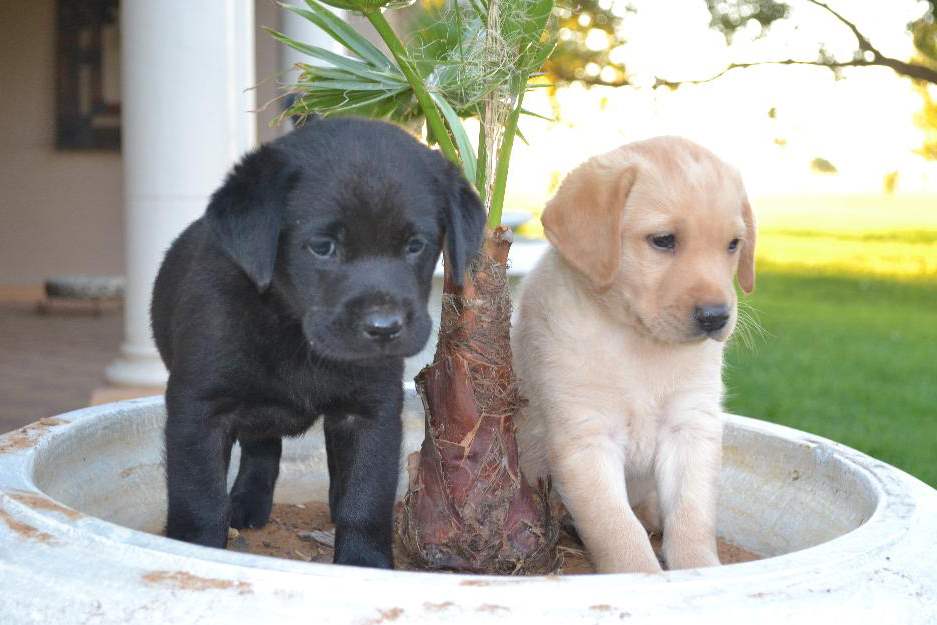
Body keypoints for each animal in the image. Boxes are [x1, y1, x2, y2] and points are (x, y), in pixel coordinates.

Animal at [150, 116, 482, 564]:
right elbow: (199, 500)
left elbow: (365, 499)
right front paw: (198, 551)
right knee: (261, 448)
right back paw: (247, 504)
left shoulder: (370, 411)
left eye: (416, 245)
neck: (293, 330)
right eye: (322, 247)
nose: (384, 327)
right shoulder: (199, 410)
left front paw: (364, 563)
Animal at [512, 135, 752, 572]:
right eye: (663, 240)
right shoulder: (585, 437)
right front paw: (640, 573)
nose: (716, 317)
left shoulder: (691, 427)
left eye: (733, 245)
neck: (637, 341)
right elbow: (616, 527)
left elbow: (693, 516)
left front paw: (700, 570)